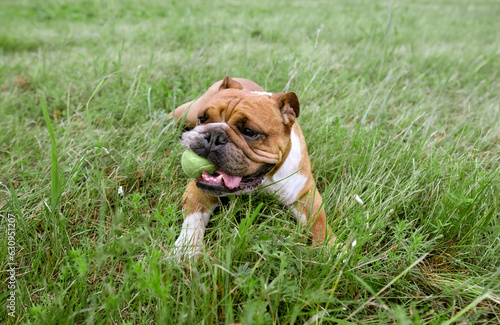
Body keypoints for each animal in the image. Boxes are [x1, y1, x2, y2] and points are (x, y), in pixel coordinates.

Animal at [171, 76, 332, 258]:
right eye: (203, 119)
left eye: (249, 131)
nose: (214, 136)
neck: (263, 179)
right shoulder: (197, 190)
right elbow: (194, 219)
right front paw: (186, 248)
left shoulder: (305, 195)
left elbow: (320, 224)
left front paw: (332, 250)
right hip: (187, 113)